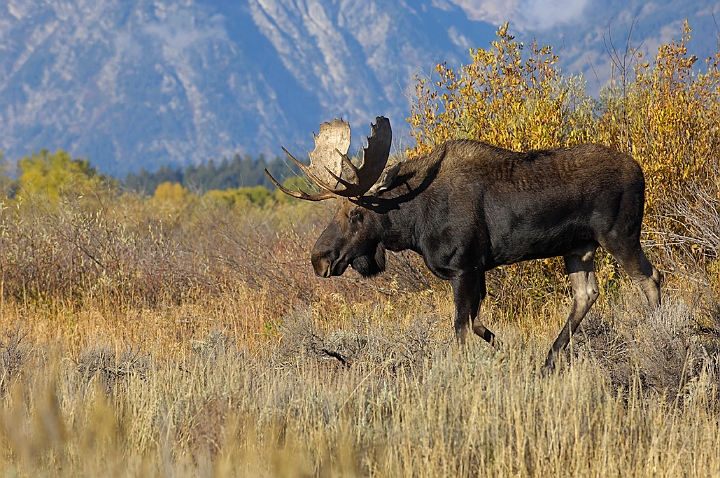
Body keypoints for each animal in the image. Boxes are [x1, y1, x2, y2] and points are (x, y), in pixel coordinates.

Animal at [268, 116, 660, 370]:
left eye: (355, 213)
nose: (319, 259)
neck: (413, 222)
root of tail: (640, 171)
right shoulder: (477, 270)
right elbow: (475, 323)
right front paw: (511, 352)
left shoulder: (464, 267)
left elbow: (459, 329)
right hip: (578, 247)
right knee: (586, 294)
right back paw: (549, 359)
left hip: (619, 235)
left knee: (650, 278)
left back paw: (659, 330)